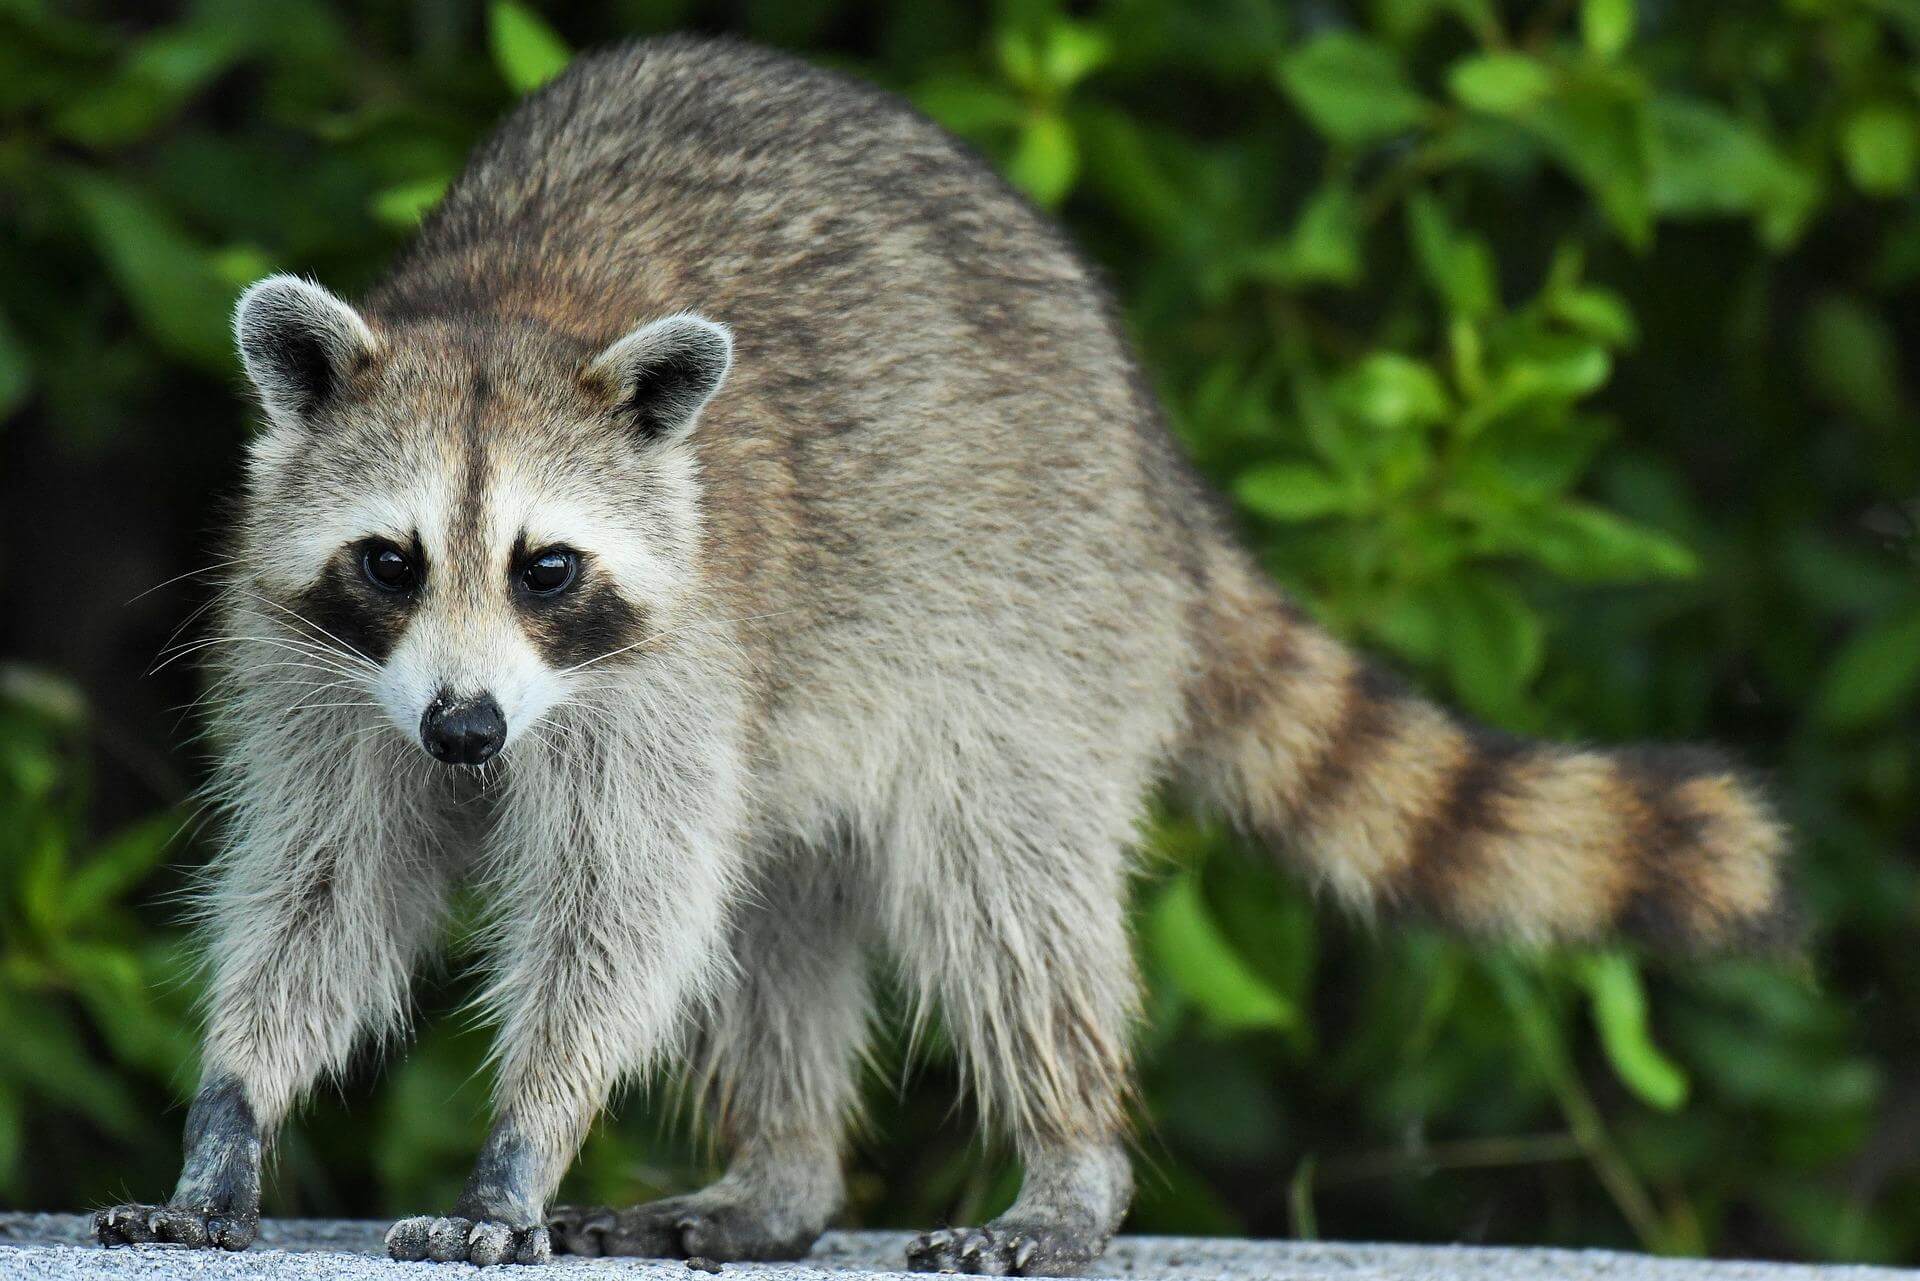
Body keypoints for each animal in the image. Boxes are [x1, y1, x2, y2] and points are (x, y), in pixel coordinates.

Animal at [97, 35, 1789, 1275]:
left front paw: (522, 1140)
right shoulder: (314, 665)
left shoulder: (672, 668)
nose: (462, 735)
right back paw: (779, 1176)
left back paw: (1068, 1158)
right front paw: (233, 1106)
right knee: (779, 912)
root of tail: (1151, 464)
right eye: (392, 561)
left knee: (1003, 892)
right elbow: (327, 882)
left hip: (1031, 621)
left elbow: (618, 913)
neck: (506, 305)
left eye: (547, 568)